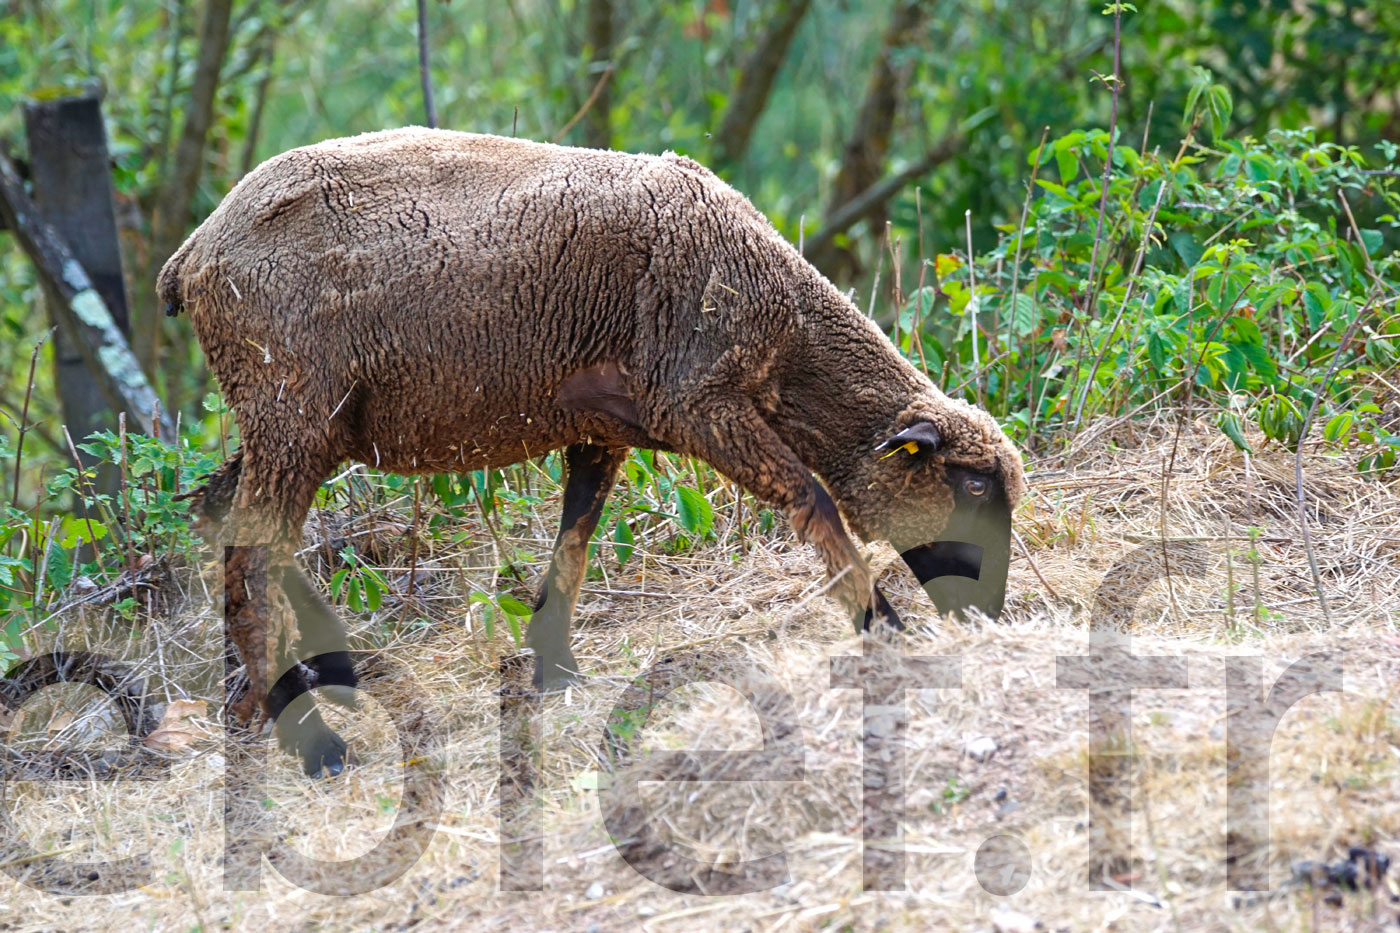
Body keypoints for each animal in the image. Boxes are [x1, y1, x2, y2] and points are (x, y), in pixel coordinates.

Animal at [160, 128, 1026, 777]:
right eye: (975, 486)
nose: (989, 614)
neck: (786, 333)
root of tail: (194, 253)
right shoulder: (699, 401)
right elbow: (812, 500)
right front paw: (882, 622)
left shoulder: (604, 424)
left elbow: (574, 538)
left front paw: (555, 667)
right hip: (292, 404)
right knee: (254, 552)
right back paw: (311, 739)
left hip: (291, 421)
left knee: (222, 515)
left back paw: (291, 684)